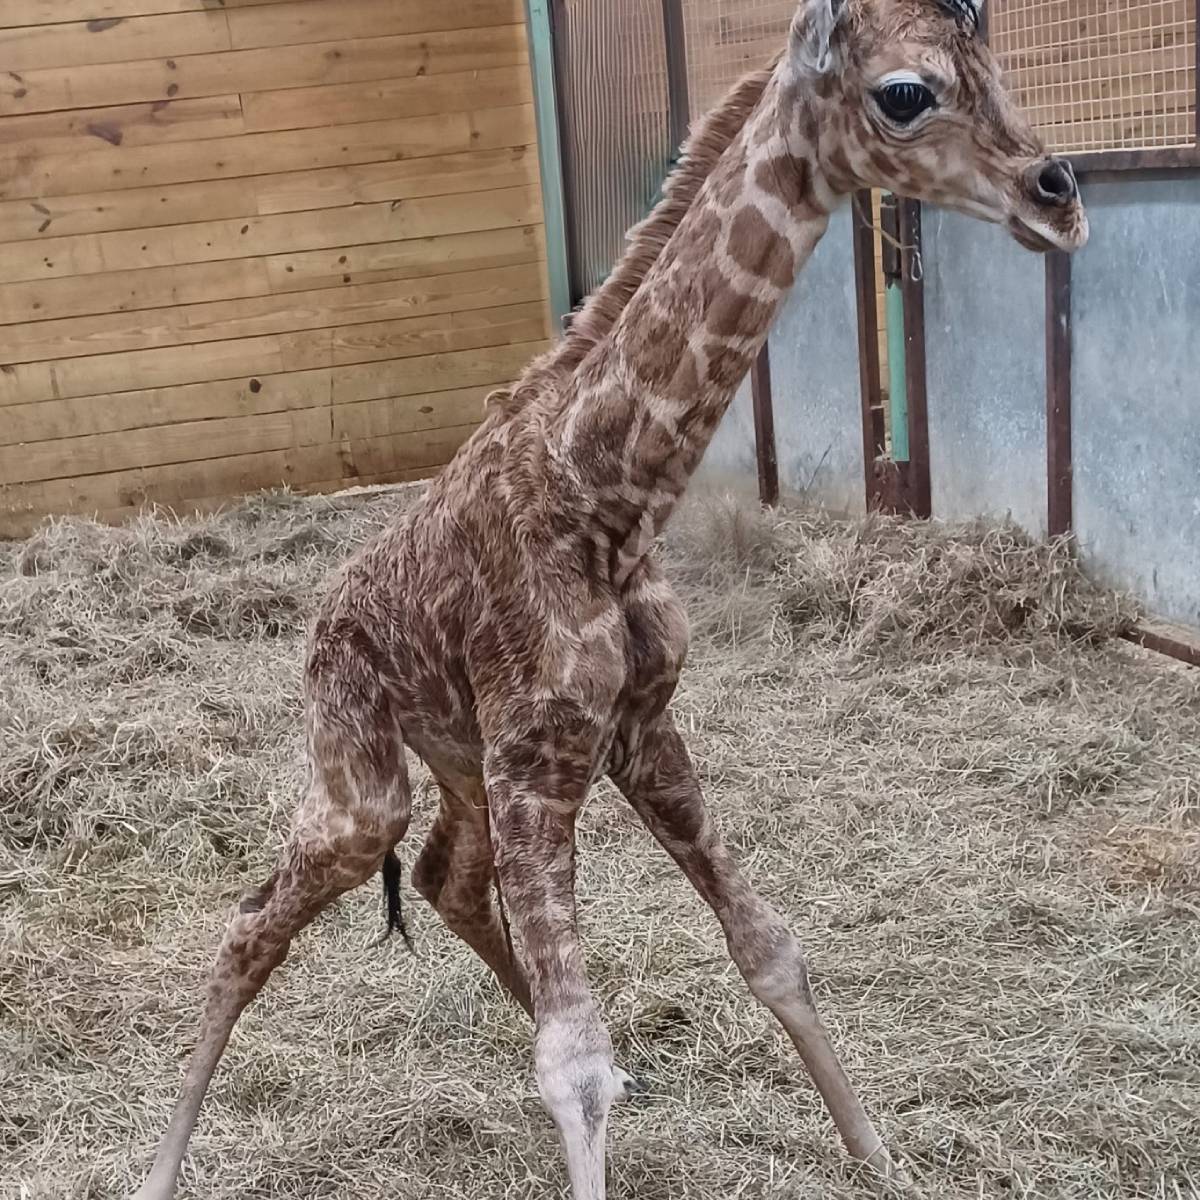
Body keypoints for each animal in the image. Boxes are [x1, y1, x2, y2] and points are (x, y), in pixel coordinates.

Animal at [129, 2, 1089, 1200]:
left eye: (994, 59)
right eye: (906, 93)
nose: (1059, 196)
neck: (606, 499)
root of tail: (322, 617)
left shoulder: (636, 730)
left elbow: (768, 950)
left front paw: (880, 1159)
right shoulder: (540, 761)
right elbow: (576, 1064)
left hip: (460, 762)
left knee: (445, 879)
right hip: (365, 782)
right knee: (256, 919)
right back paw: (157, 1170)